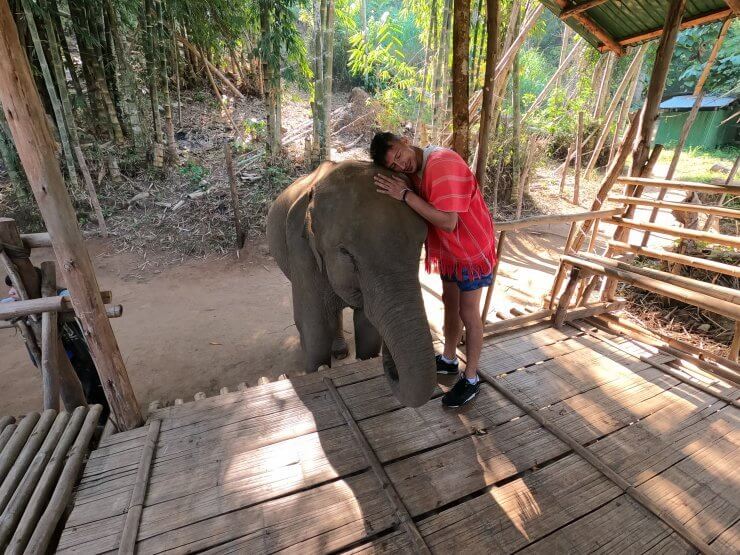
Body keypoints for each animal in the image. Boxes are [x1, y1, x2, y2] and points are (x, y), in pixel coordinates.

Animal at [268, 161, 436, 408]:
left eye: (422, 243)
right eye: (346, 253)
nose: (390, 364)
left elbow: (367, 325)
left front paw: (366, 357)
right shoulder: (301, 251)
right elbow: (314, 329)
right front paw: (316, 367)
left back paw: (340, 351)